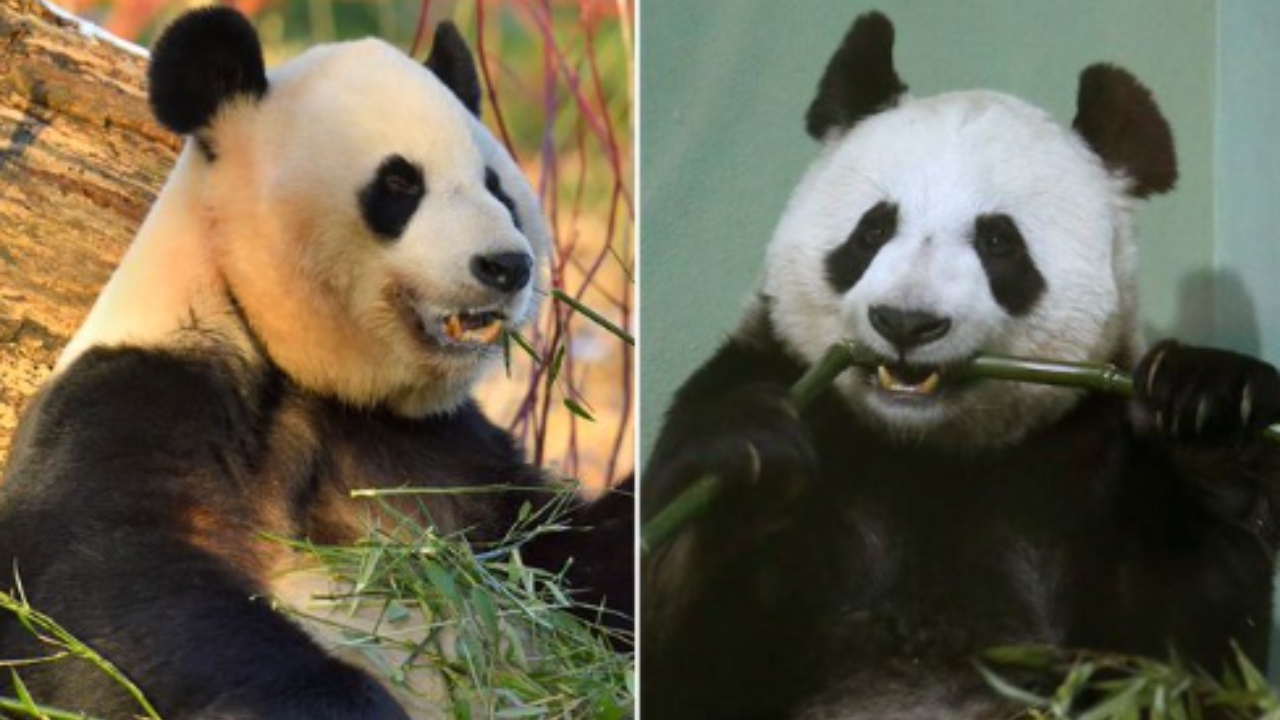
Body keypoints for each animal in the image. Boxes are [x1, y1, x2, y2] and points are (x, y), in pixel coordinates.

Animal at [0, 7, 632, 720]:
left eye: (498, 187)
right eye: (399, 183)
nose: (507, 265)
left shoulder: (450, 452)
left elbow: (559, 558)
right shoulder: (137, 391)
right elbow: (102, 589)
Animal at [642, 11, 1280, 720]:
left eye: (999, 241)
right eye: (872, 230)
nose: (905, 323)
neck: (929, 451)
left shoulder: (1092, 461)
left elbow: (1185, 657)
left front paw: (1209, 412)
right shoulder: (777, 378)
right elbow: (685, 648)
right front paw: (745, 456)